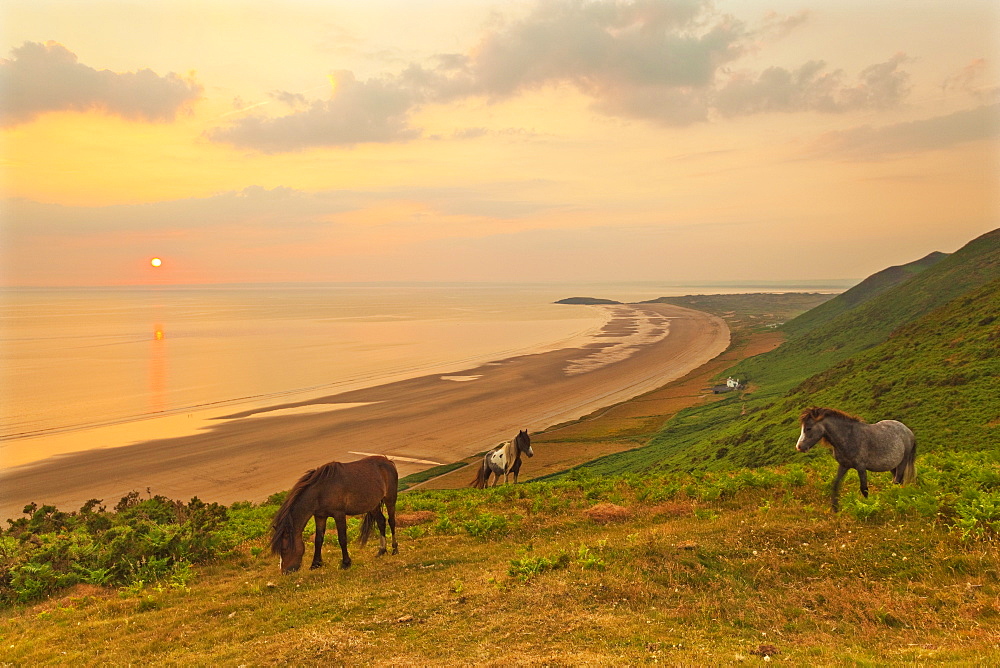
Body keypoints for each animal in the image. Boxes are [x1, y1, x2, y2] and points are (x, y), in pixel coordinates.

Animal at [274, 454, 402, 576]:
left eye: (284, 549)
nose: (284, 571)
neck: (321, 490)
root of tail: (388, 461)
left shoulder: (339, 514)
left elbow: (342, 538)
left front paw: (346, 563)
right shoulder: (320, 516)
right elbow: (318, 540)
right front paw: (315, 564)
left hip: (390, 499)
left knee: (391, 521)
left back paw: (395, 549)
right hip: (373, 505)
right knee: (381, 522)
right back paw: (381, 550)